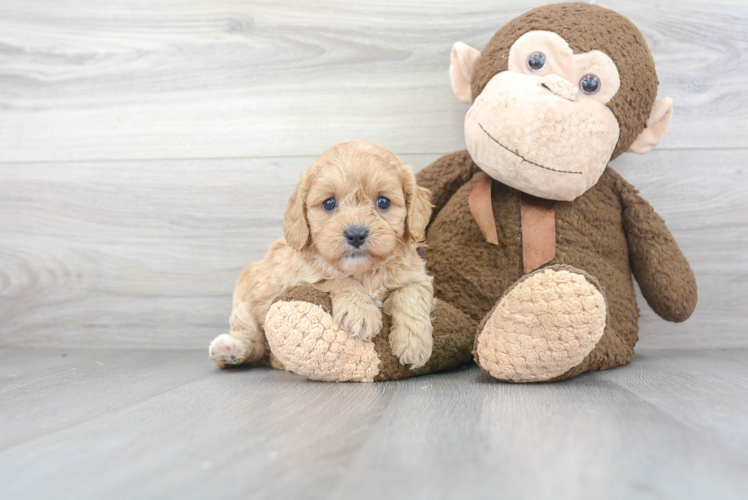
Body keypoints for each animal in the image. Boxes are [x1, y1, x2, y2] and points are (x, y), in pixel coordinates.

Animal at [207, 141, 436, 372]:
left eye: (383, 202)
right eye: (329, 203)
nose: (356, 234)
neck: (364, 271)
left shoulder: (417, 276)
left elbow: (412, 294)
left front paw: (414, 344)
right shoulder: (300, 277)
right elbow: (338, 278)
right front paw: (360, 311)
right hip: (245, 294)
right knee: (251, 339)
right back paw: (230, 349)